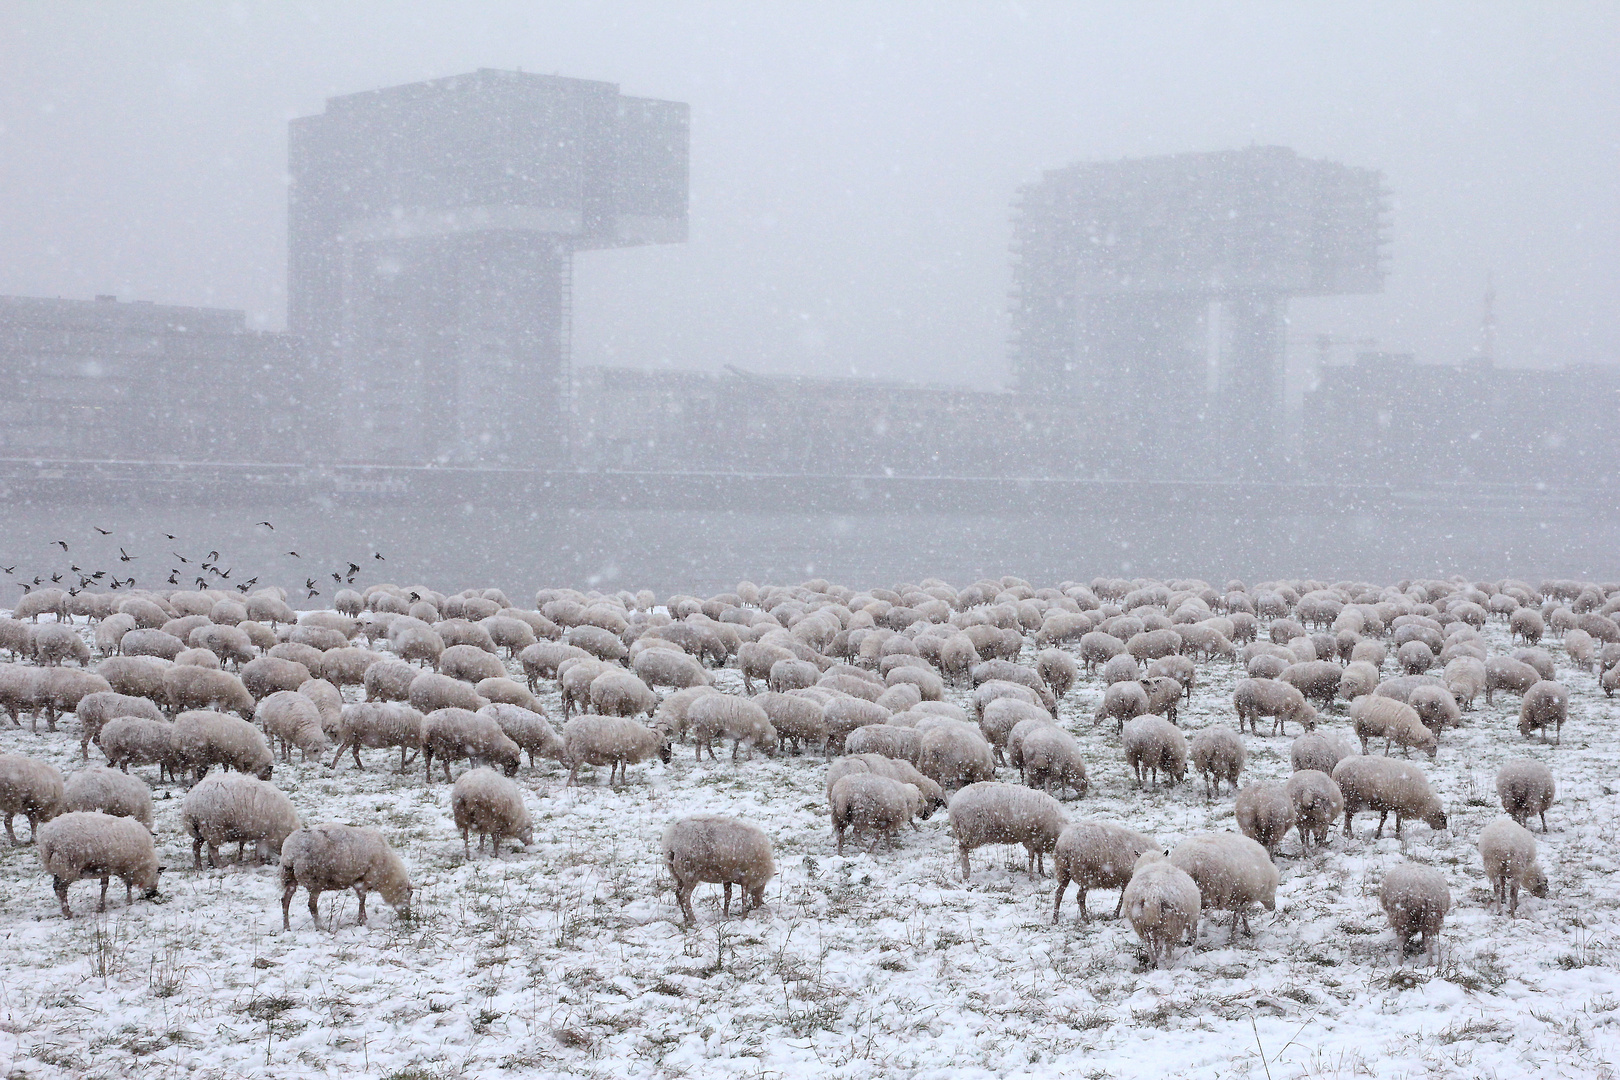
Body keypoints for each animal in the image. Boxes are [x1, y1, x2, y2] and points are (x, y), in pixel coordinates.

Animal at [277, 822, 408, 932]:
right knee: (311, 904)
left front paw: (364, 917)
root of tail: (290, 853)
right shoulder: (364, 879)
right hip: (315, 880)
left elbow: (362, 899)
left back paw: (286, 927)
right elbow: (362, 899)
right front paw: (362, 920)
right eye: (409, 895)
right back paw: (320, 927)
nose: (408, 917)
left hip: (289, 877)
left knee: (285, 900)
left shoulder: (357, 880)